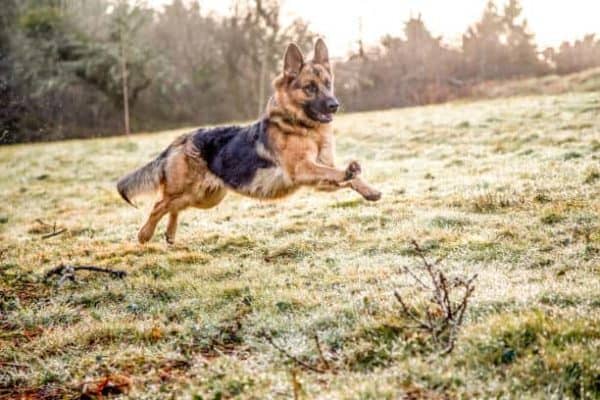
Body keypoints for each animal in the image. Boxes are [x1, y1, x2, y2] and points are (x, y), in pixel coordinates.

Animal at [117, 39, 380, 244]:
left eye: (327, 84)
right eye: (309, 88)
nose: (335, 105)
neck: (303, 127)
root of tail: (182, 138)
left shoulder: (318, 178)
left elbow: (347, 177)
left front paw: (368, 189)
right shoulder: (303, 169)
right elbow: (337, 172)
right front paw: (350, 172)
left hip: (204, 197)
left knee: (173, 207)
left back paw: (170, 234)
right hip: (187, 191)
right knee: (159, 205)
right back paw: (144, 235)